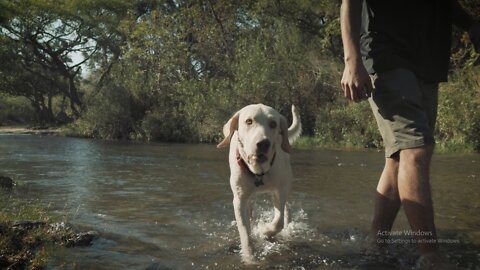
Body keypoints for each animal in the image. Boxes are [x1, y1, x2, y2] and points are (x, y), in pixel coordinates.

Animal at [217, 103, 300, 262]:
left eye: (273, 124)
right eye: (249, 121)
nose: (263, 143)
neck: (258, 173)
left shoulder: (279, 191)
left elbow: (278, 221)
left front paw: (264, 231)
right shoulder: (239, 200)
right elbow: (245, 233)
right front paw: (250, 257)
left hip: (286, 183)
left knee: (285, 209)